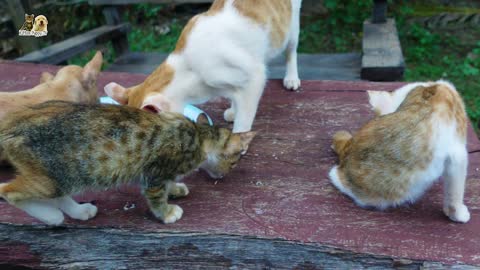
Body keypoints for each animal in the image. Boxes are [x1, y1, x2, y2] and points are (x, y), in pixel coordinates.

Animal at [106, 0, 300, 133]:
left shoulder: (255, 76)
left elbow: (244, 116)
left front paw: (238, 138)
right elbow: (236, 96)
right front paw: (233, 110)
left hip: (292, 27)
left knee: (291, 51)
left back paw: (291, 78)